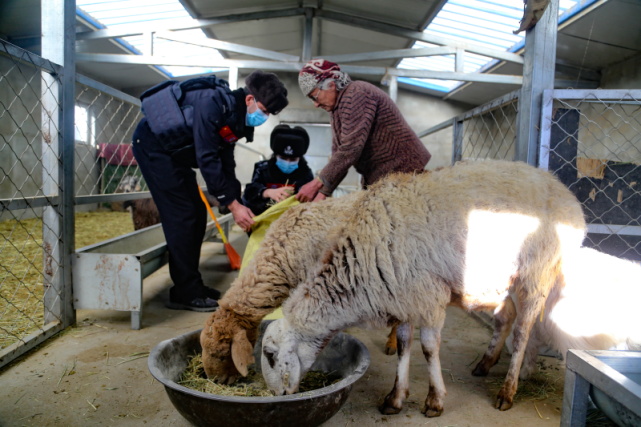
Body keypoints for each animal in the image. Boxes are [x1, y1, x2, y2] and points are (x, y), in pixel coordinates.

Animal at [260, 160, 584, 418]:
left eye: (270, 355)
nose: (278, 396)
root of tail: (562, 190)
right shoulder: (404, 297)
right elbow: (404, 345)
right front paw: (396, 398)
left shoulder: (428, 297)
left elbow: (428, 348)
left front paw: (434, 400)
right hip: (491, 280)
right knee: (507, 315)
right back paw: (485, 363)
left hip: (537, 272)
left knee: (522, 331)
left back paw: (507, 390)